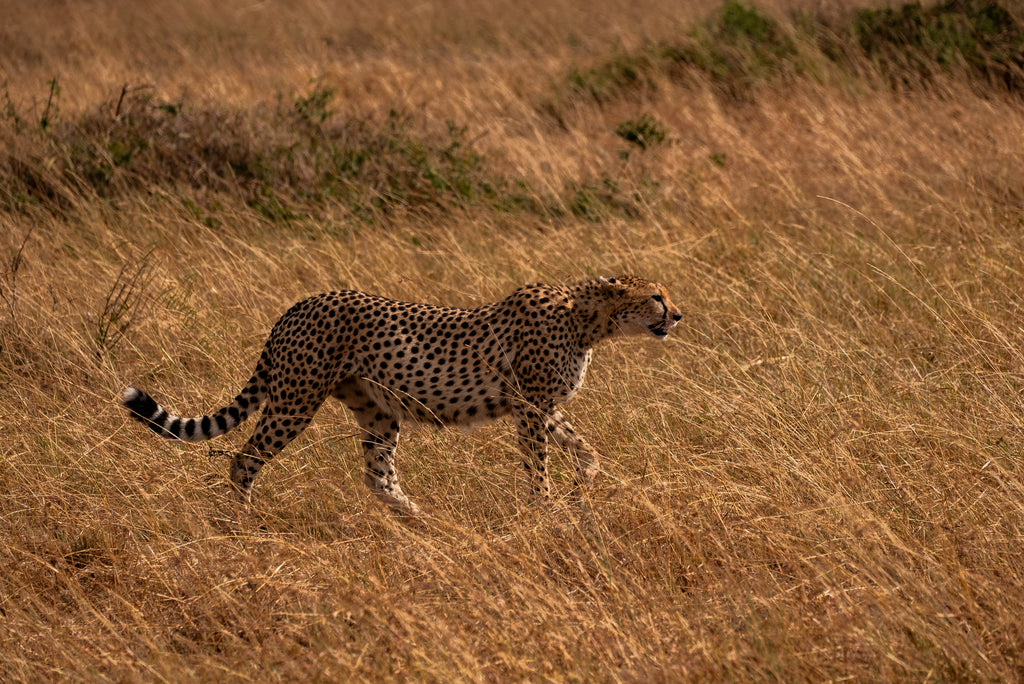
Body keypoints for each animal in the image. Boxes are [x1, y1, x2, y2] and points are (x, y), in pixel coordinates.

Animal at [121, 274, 679, 516]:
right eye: (656, 295)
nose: (678, 314)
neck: (588, 320)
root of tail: (299, 303)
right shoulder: (529, 406)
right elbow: (538, 462)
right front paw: (543, 507)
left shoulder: (541, 405)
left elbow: (586, 452)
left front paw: (581, 488)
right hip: (295, 400)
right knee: (244, 460)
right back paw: (244, 523)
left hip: (377, 411)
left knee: (378, 476)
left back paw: (420, 522)